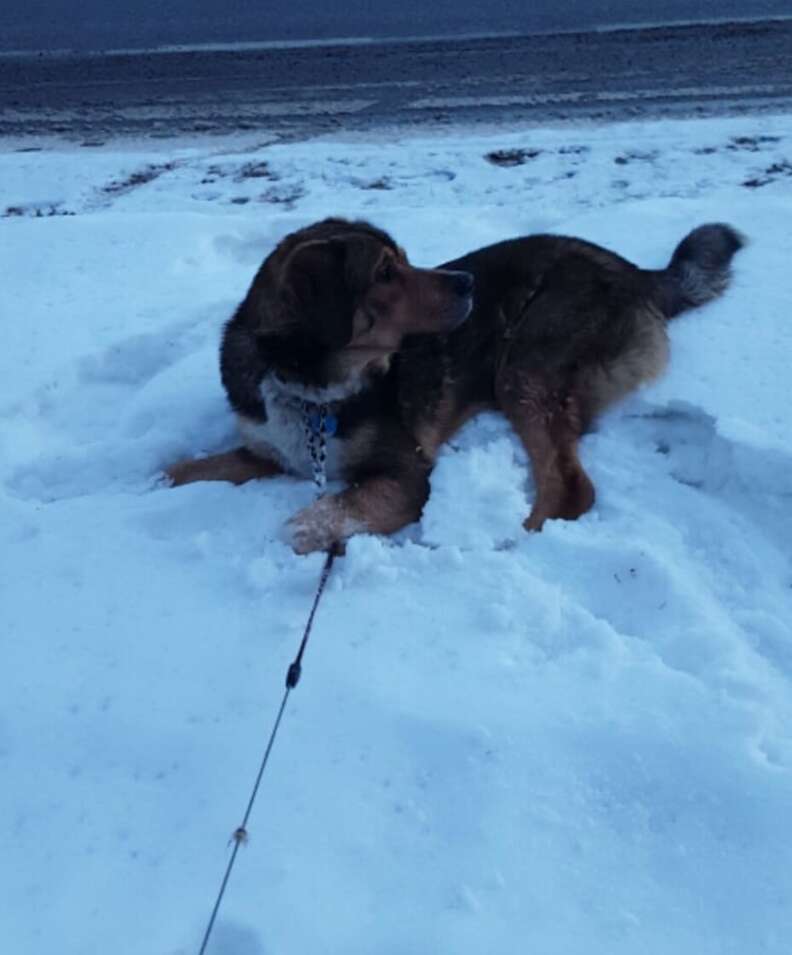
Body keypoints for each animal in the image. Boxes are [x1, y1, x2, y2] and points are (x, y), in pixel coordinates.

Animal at [167, 216, 744, 552]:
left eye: (402, 259)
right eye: (385, 273)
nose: (467, 283)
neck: (306, 384)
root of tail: (635, 271)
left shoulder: (407, 472)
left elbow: (323, 515)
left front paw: (307, 528)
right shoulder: (268, 449)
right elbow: (188, 469)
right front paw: (158, 480)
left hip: (525, 368)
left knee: (572, 488)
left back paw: (514, 542)